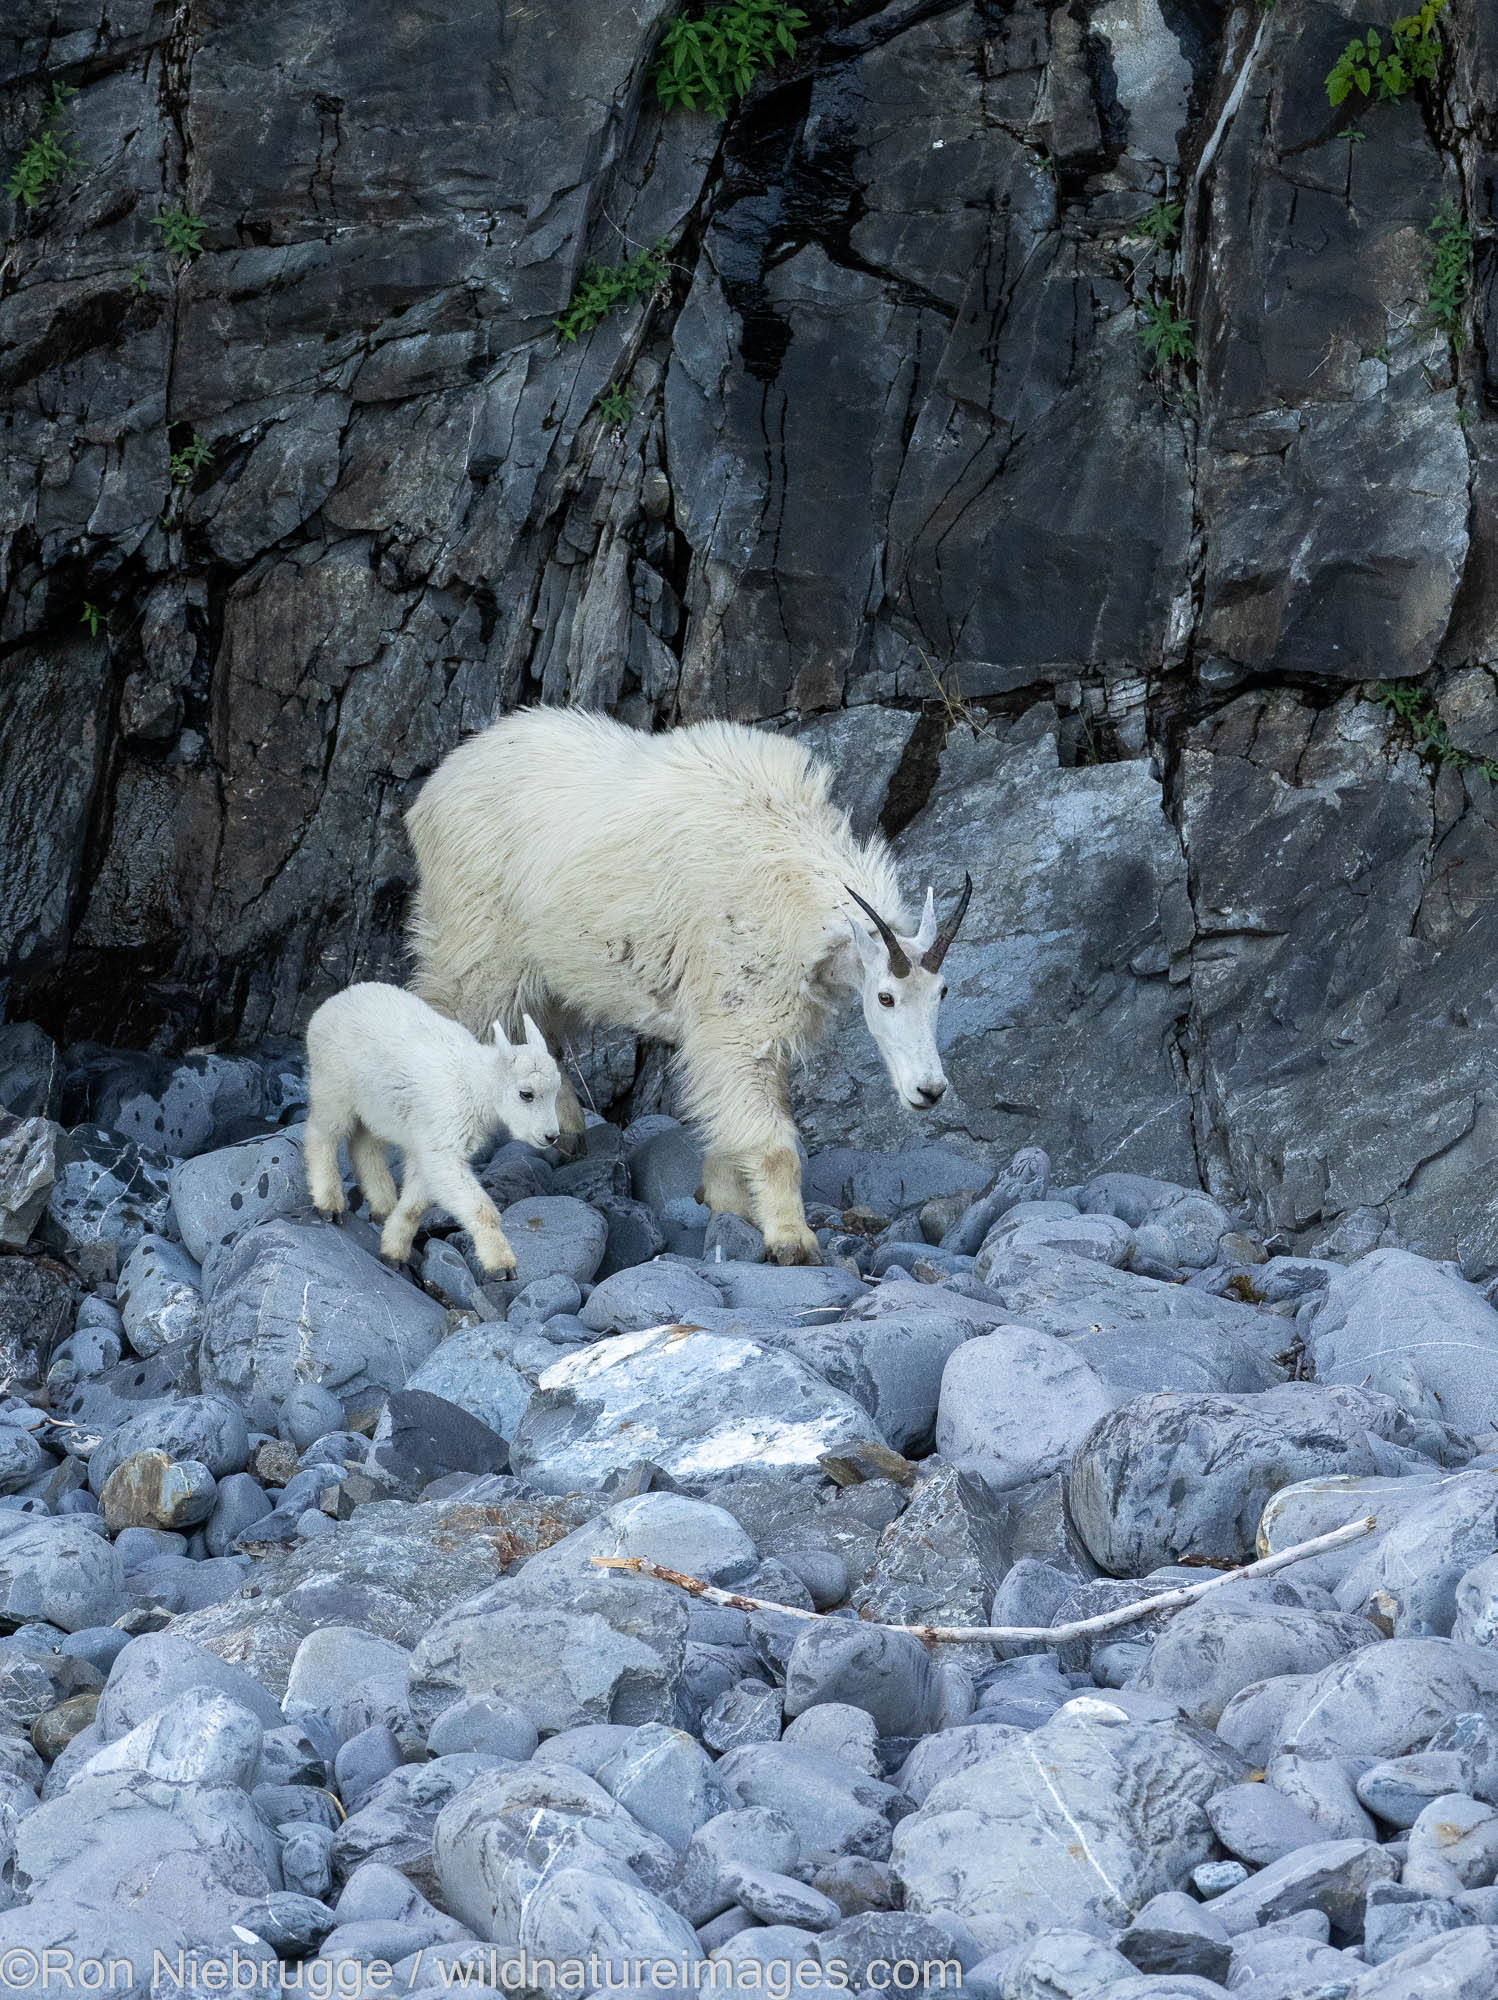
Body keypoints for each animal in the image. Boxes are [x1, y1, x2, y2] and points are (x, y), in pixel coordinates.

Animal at [304, 976, 560, 1272]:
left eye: (556, 1089)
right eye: (526, 1094)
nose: (551, 1136)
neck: (475, 1085)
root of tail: (332, 1002)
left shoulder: (427, 1146)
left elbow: (415, 1206)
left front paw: (394, 1252)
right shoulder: (443, 1144)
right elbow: (481, 1208)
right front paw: (501, 1264)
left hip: (377, 1107)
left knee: (364, 1145)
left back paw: (382, 1206)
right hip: (333, 1084)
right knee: (321, 1133)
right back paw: (329, 1203)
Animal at [410, 712, 972, 1256]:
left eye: (942, 993)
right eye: (885, 997)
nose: (929, 1090)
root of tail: (439, 784)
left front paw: (726, 1202)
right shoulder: (738, 1018)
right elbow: (773, 1143)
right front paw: (792, 1239)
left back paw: (567, 1131)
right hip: (474, 948)